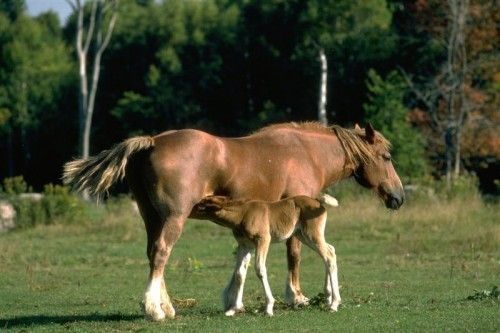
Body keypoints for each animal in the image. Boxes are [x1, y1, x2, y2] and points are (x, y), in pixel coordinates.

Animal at [190, 193, 340, 316]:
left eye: (201, 204)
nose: (189, 208)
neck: (243, 214)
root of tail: (317, 202)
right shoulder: (245, 245)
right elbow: (239, 273)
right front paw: (233, 309)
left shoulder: (263, 240)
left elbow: (260, 269)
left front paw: (268, 308)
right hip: (303, 236)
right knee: (330, 251)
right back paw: (328, 298)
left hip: (312, 235)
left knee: (329, 256)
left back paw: (334, 304)